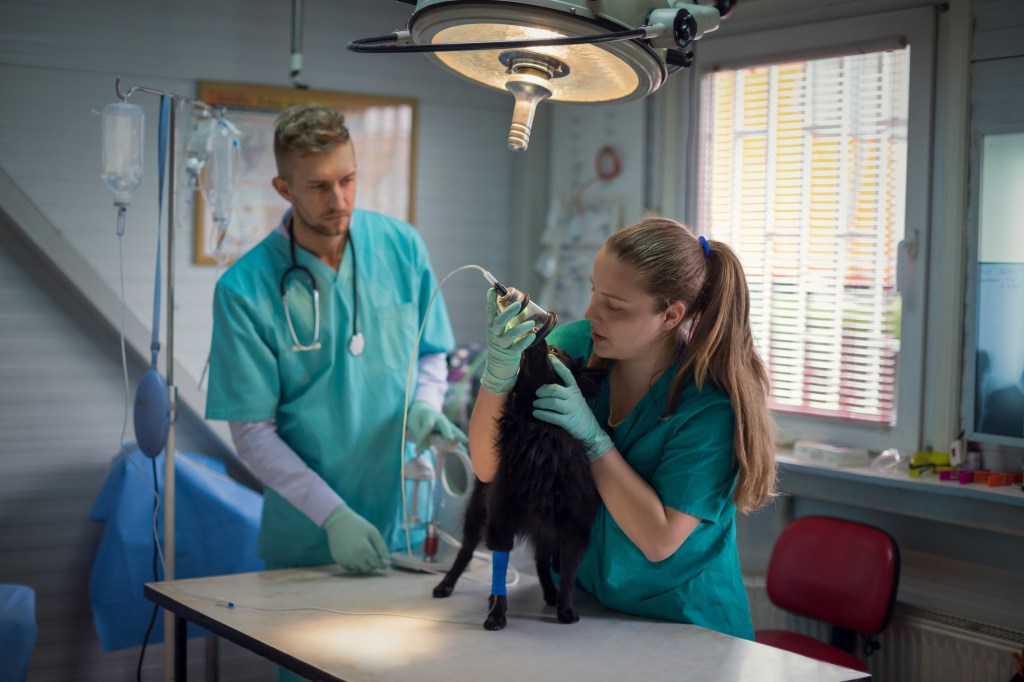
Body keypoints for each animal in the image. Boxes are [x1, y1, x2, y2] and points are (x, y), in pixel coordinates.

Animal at [434, 342, 606, 630]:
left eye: (556, 351)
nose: (541, 341)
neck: (539, 432)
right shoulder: (500, 521)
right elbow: (499, 569)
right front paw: (497, 613)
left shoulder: (575, 531)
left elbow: (568, 575)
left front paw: (565, 608)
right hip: (476, 514)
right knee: (465, 551)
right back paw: (446, 584)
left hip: (546, 531)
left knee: (541, 560)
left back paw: (550, 593)